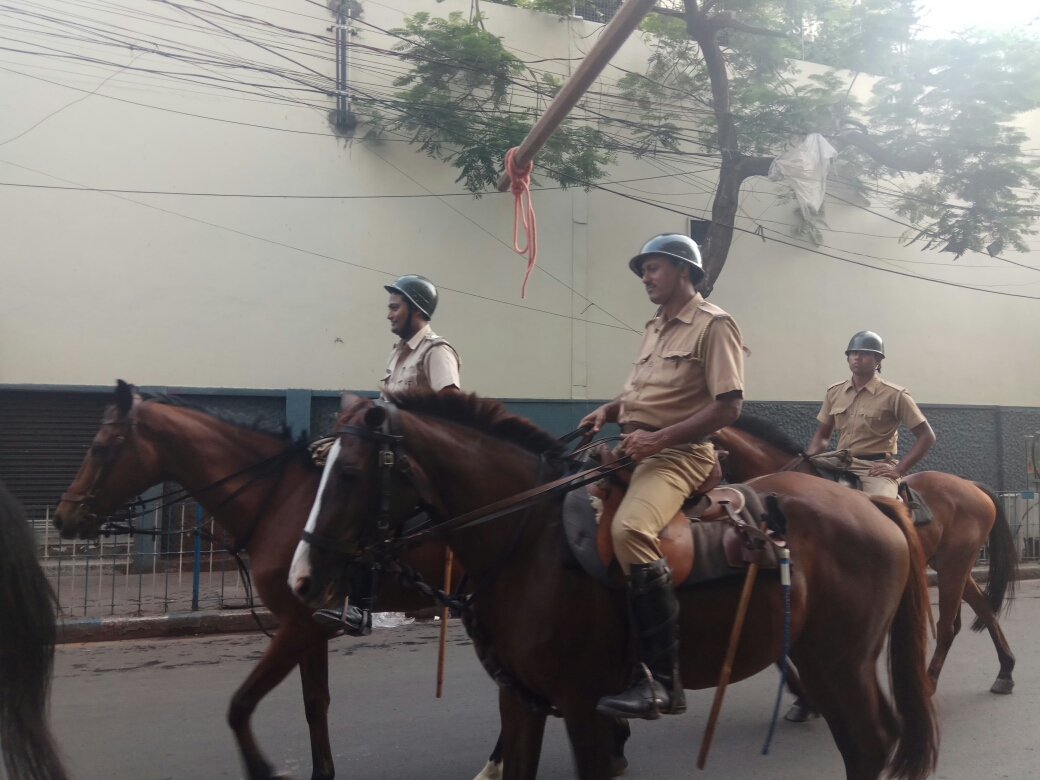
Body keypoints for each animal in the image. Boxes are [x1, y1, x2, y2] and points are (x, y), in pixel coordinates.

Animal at [52, 382, 459, 780]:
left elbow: (242, 704)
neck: (282, 500)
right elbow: (315, 703)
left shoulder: (299, 624)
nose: (61, 516)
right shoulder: (309, 626)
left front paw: (261, 767)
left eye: (99, 448)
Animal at [289, 397, 940, 780]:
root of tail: (870, 505)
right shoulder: (521, 699)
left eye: (350, 473)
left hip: (840, 661)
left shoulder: (584, 707)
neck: (528, 538)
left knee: (871, 742)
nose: (302, 578)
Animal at [711, 416, 1019, 694]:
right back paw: (1005, 671)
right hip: (951, 564)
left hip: (954, 565)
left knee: (947, 626)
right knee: (984, 608)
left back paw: (930, 681)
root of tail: (971, 485)